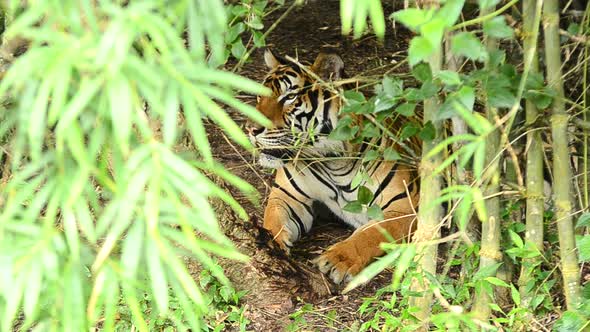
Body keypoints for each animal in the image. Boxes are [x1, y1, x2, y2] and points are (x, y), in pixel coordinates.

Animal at [247, 50, 424, 284]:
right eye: (260, 96)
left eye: (290, 97)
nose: (250, 129)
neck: (331, 162)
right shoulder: (286, 196)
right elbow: (273, 219)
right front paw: (269, 244)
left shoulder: (404, 206)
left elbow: (370, 233)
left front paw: (337, 259)